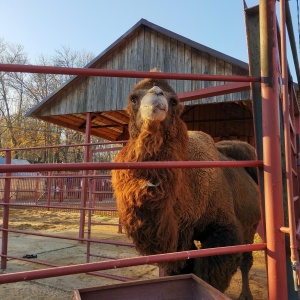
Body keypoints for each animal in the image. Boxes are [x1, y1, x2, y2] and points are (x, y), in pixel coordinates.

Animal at [111, 76, 262, 298]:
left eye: (174, 101)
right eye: (133, 98)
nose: (156, 94)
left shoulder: (223, 229)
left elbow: (210, 275)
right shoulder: (179, 239)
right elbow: (185, 269)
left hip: (251, 225)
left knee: (246, 260)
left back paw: (246, 295)